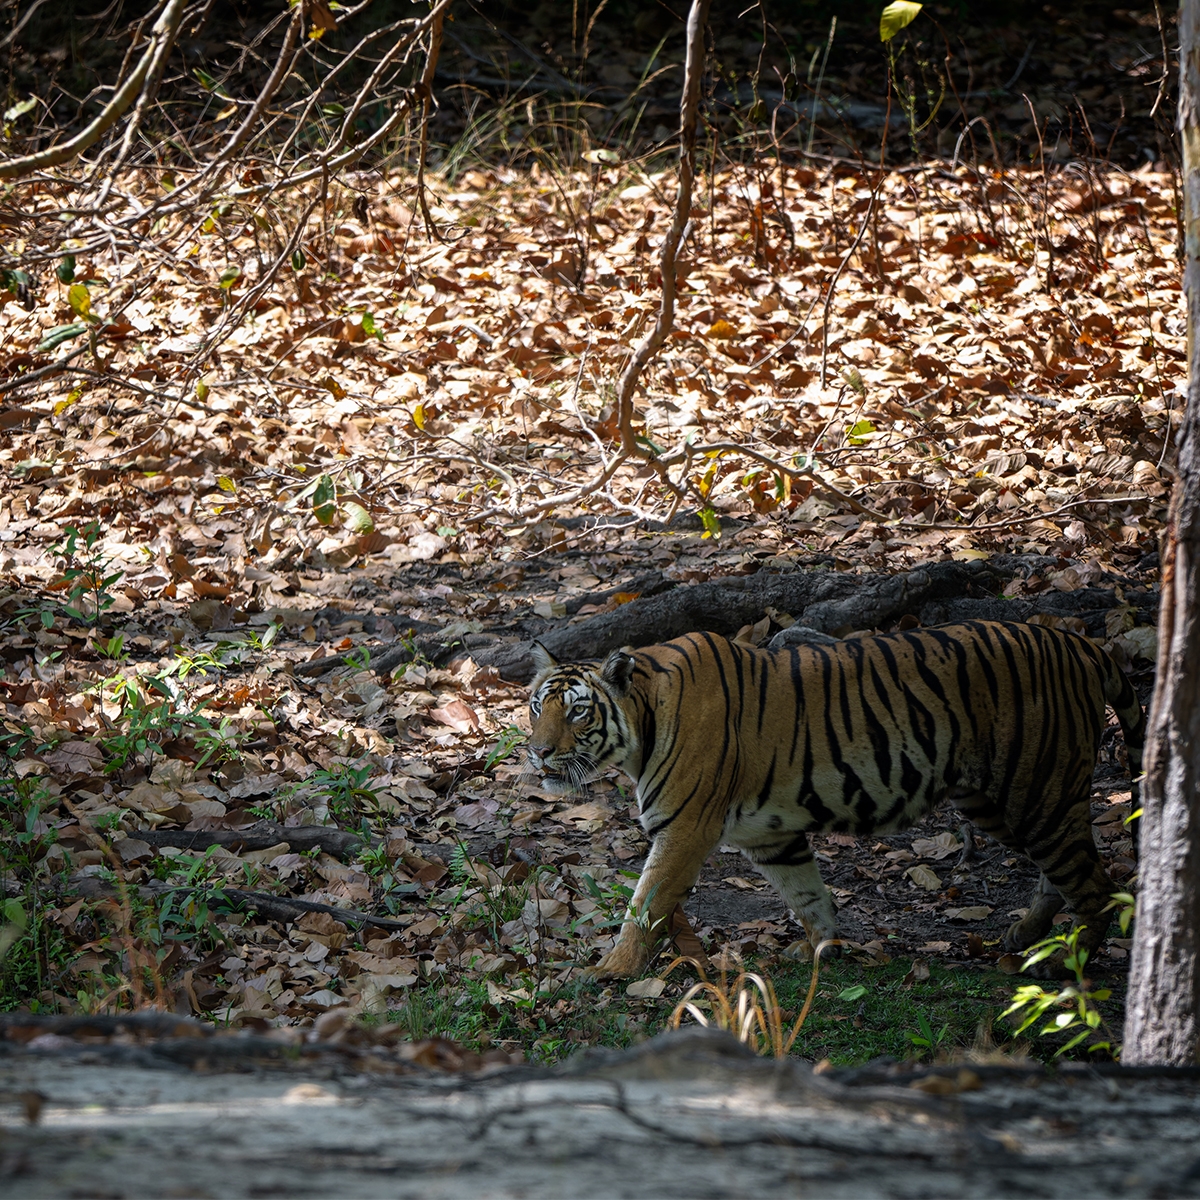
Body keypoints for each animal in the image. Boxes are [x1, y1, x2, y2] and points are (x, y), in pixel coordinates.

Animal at [526, 620, 1145, 980]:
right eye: (537, 706)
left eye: (577, 712)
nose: (536, 752)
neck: (644, 719)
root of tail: (1081, 644)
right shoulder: (771, 835)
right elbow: (808, 894)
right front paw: (821, 949)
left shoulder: (684, 830)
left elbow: (645, 903)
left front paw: (611, 970)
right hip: (997, 801)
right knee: (1059, 874)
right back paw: (1027, 936)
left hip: (1037, 789)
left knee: (1096, 885)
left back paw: (1066, 962)